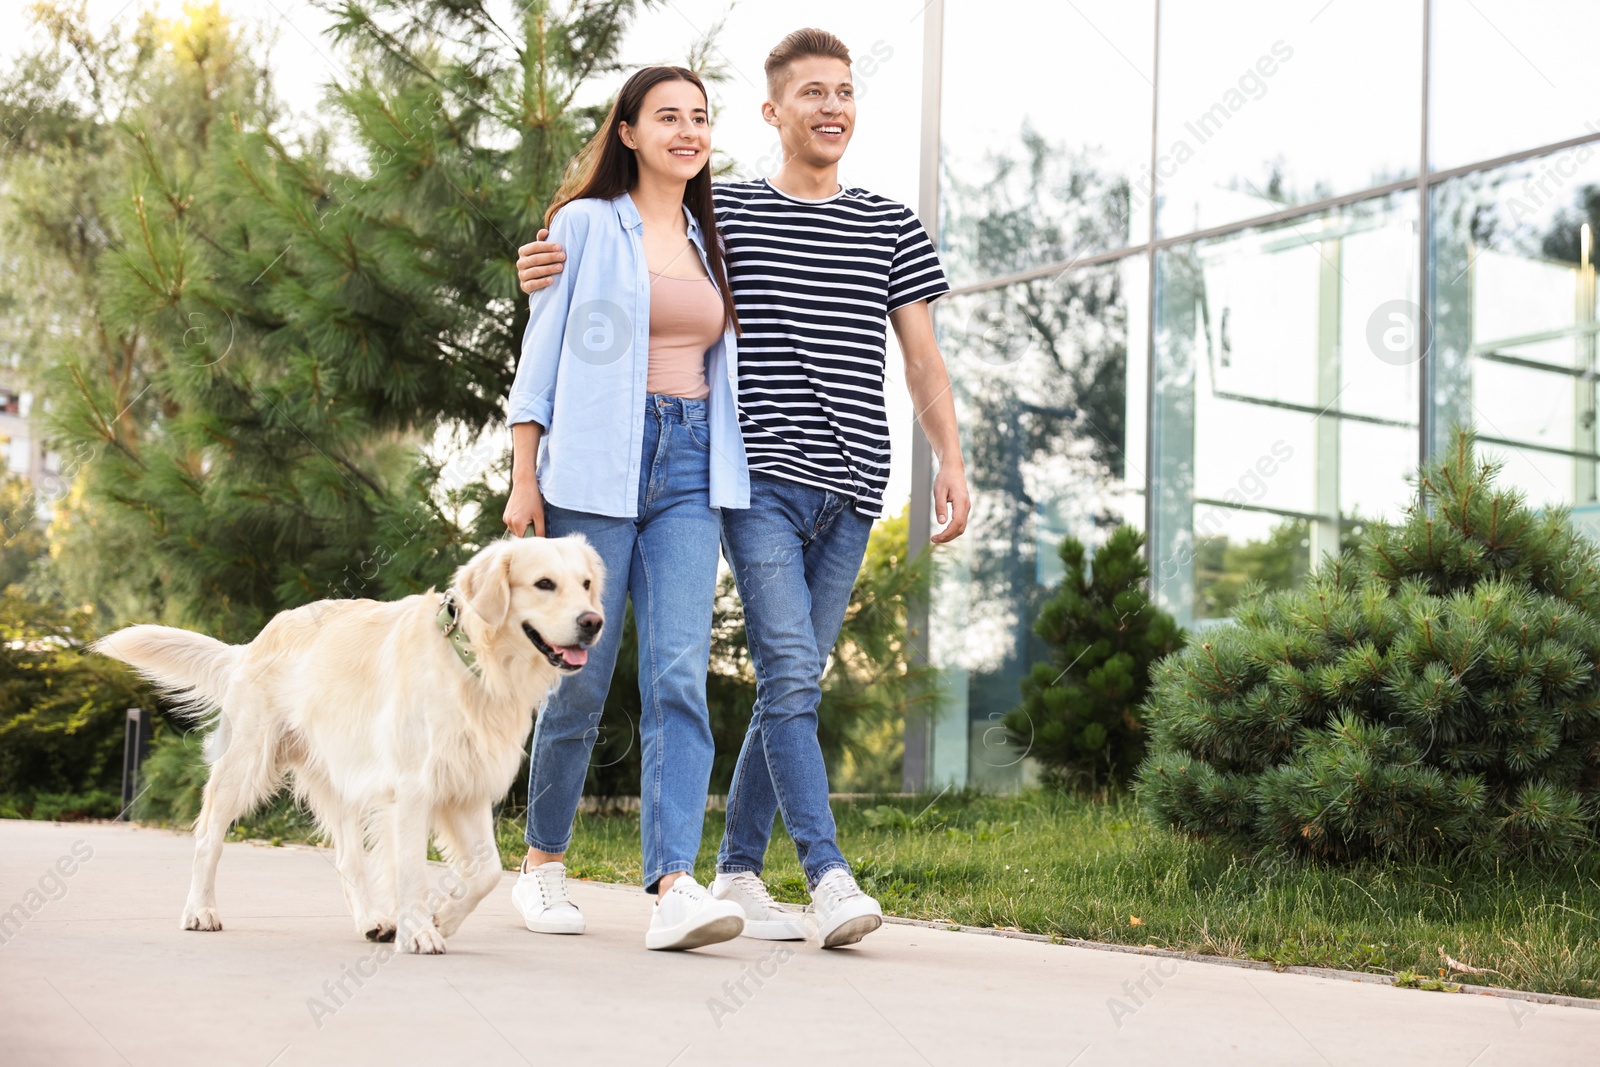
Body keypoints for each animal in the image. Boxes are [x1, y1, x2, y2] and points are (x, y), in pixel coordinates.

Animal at [93, 537, 604, 953]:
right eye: (543, 583)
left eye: (584, 584)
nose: (594, 622)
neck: (471, 658)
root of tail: (254, 641)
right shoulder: (414, 789)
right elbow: (411, 870)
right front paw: (420, 931)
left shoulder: (468, 787)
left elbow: (487, 872)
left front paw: (442, 918)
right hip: (246, 763)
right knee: (207, 838)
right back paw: (200, 910)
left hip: (340, 781)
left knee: (347, 860)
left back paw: (373, 921)